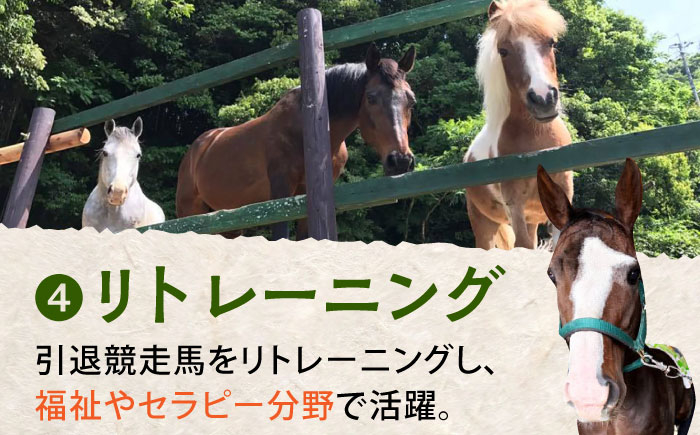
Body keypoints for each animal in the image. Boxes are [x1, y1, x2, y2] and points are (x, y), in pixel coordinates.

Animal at [176, 43, 417, 240]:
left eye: (411, 101)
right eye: (371, 97)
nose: (401, 160)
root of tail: (198, 147)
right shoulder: (280, 197)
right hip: (190, 212)